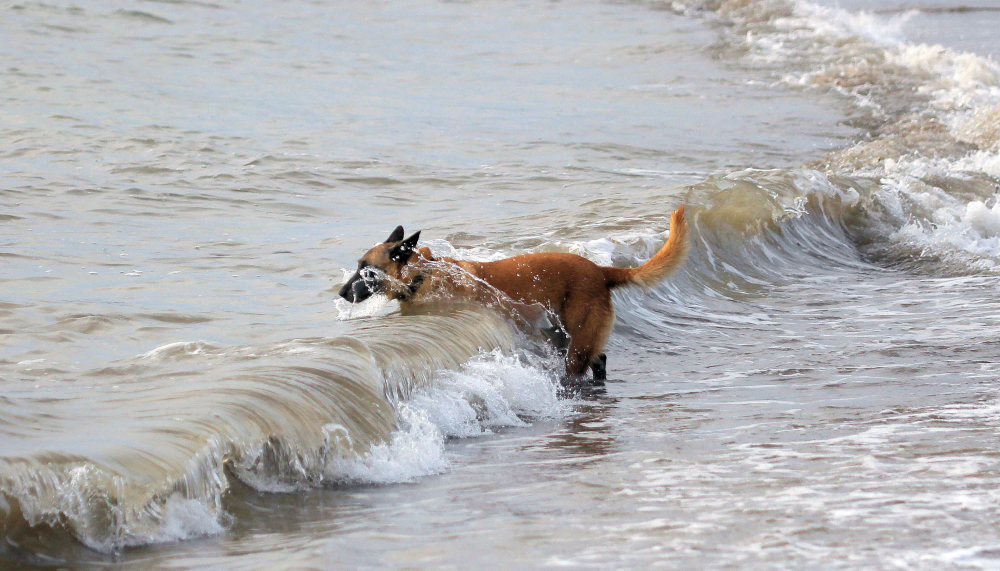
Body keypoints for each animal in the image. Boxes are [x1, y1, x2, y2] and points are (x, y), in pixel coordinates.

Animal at [336, 206, 688, 380]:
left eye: (366, 271)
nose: (340, 292)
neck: (423, 274)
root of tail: (601, 271)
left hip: (575, 343)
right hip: (564, 337)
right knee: (598, 360)